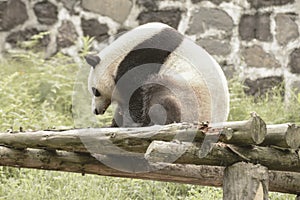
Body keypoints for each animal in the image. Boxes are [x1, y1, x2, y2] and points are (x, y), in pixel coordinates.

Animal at [85, 22, 230, 128]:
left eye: (95, 91)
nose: (96, 111)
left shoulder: (144, 57)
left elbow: (135, 93)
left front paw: (129, 123)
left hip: (190, 97)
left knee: (161, 94)